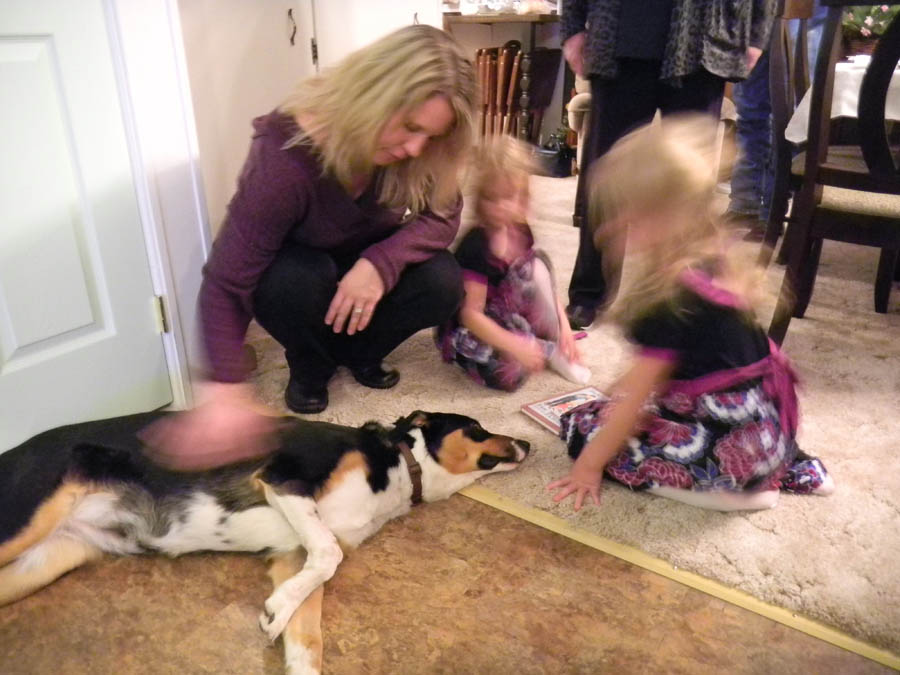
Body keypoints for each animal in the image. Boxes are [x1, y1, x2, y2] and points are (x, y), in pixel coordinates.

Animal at [0, 409, 530, 674]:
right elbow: (330, 556)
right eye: (477, 428)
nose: (529, 444)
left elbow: (308, 636)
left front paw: (282, 613)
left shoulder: (295, 554)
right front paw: (275, 610)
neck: (401, 464)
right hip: (24, 522)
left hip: (46, 558)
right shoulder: (281, 480)